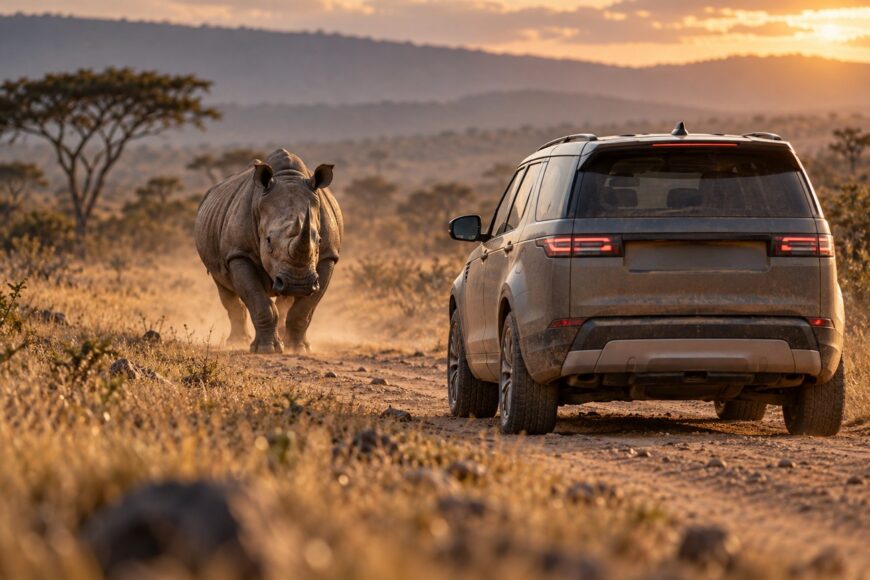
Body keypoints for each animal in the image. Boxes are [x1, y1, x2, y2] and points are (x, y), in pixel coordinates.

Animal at [195, 148, 343, 353]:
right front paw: (266, 349)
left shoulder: (328, 256)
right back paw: (237, 342)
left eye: (319, 240)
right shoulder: (239, 254)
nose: (298, 283)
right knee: (224, 288)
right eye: (269, 241)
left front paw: (298, 348)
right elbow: (259, 302)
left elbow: (304, 308)